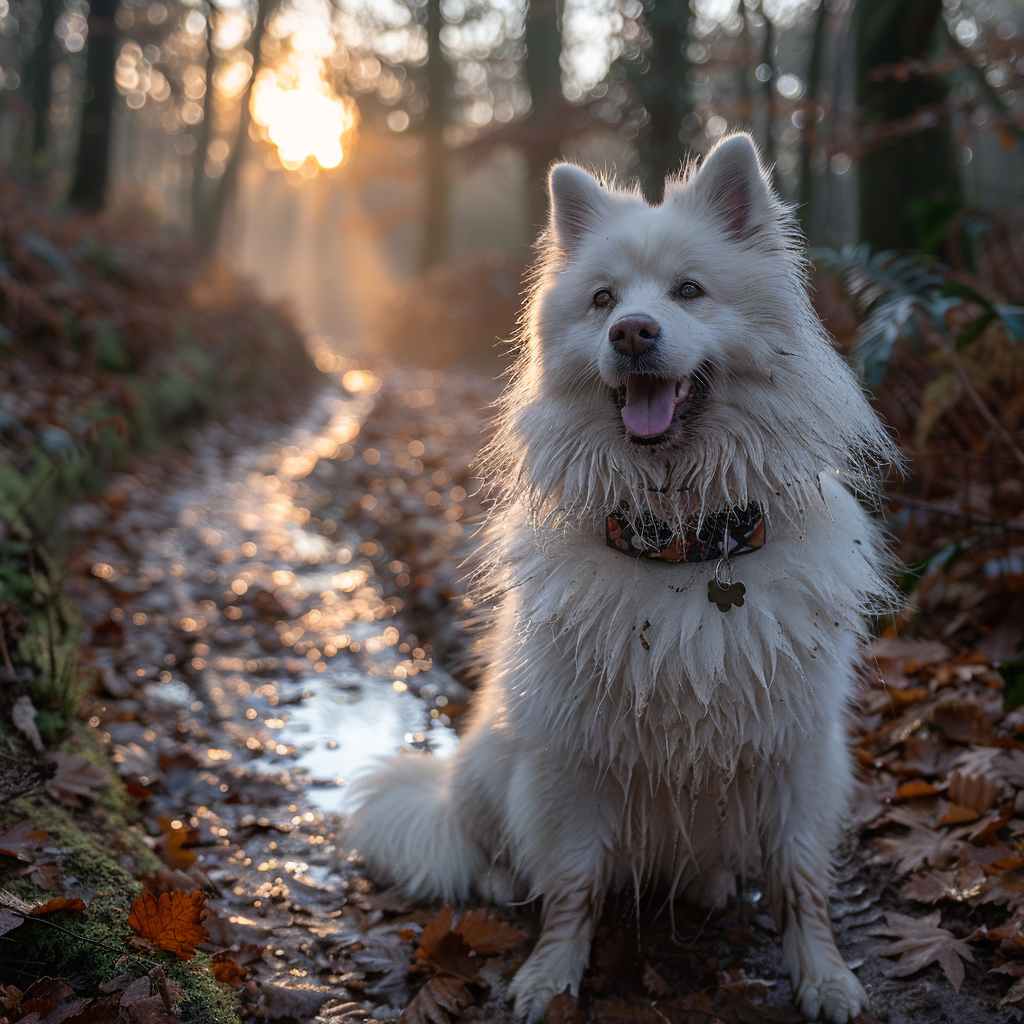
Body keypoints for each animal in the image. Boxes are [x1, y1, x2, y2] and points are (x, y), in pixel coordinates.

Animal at [350, 132, 897, 1019]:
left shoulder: (799, 755)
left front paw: (824, 977)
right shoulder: (575, 760)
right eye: (603, 300)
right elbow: (573, 886)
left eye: (689, 291)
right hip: (494, 763)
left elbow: (801, 882)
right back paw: (500, 877)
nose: (633, 332)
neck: (684, 547)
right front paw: (550, 975)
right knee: (488, 844)